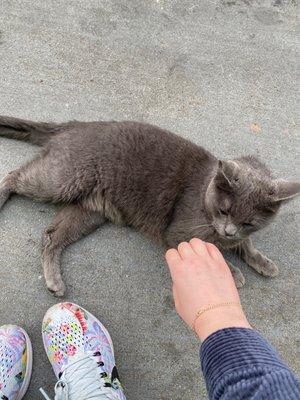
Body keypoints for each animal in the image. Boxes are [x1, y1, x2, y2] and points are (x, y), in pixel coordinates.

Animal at [0, 115, 298, 296]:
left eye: (248, 222)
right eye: (224, 210)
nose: (228, 230)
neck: (204, 198)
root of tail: (76, 125)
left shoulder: (238, 235)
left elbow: (246, 244)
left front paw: (262, 261)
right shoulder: (179, 233)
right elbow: (215, 252)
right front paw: (233, 272)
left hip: (88, 210)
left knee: (51, 236)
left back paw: (54, 281)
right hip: (61, 179)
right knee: (12, 175)